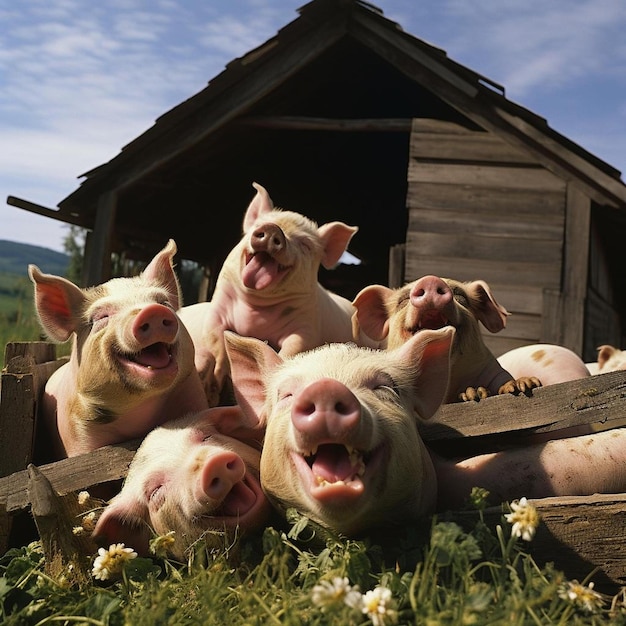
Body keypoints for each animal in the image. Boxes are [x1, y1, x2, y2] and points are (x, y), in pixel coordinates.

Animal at [177, 182, 370, 404]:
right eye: (259, 225)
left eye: (305, 244)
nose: (271, 229)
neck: (256, 312)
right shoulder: (218, 310)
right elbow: (216, 341)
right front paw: (213, 386)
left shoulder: (307, 325)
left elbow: (295, 346)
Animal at [348, 276, 540, 402]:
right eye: (402, 300)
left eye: (460, 296)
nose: (430, 280)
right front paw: (473, 394)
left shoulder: (492, 369)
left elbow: (503, 381)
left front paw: (524, 385)